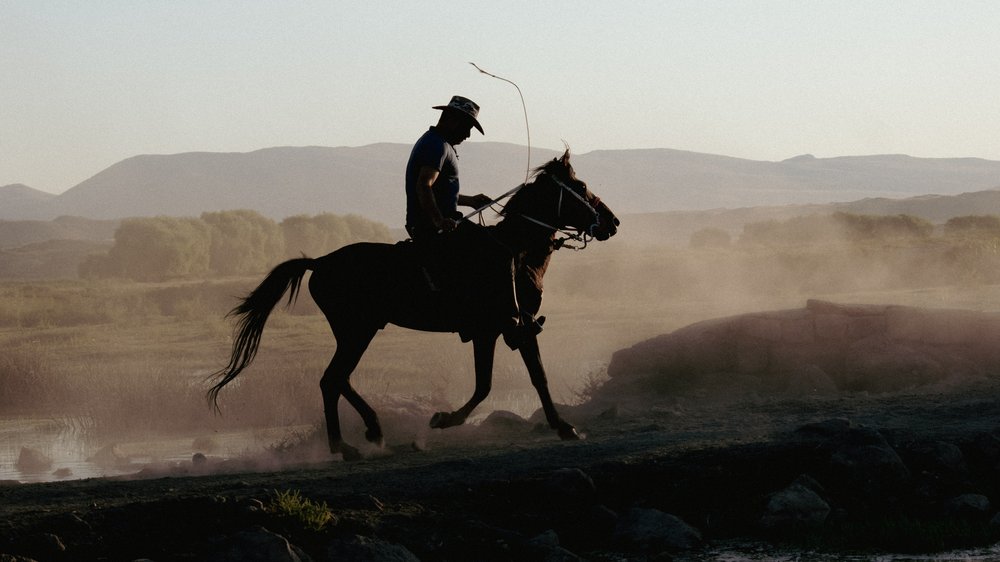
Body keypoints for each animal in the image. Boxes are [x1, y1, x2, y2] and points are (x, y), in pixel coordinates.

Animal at [206, 150, 616, 460]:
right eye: (580, 187)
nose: (611, 222)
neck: (516, 252)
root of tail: (319, 262)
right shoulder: (507, 327)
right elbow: (506, 383)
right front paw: (443, 421)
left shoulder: (499, 331)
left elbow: (506, 381)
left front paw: (562, 426)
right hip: (357, 330)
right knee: (331, 379)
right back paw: (346, 444)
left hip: (358, 331)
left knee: (339, 379)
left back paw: (371, 430)